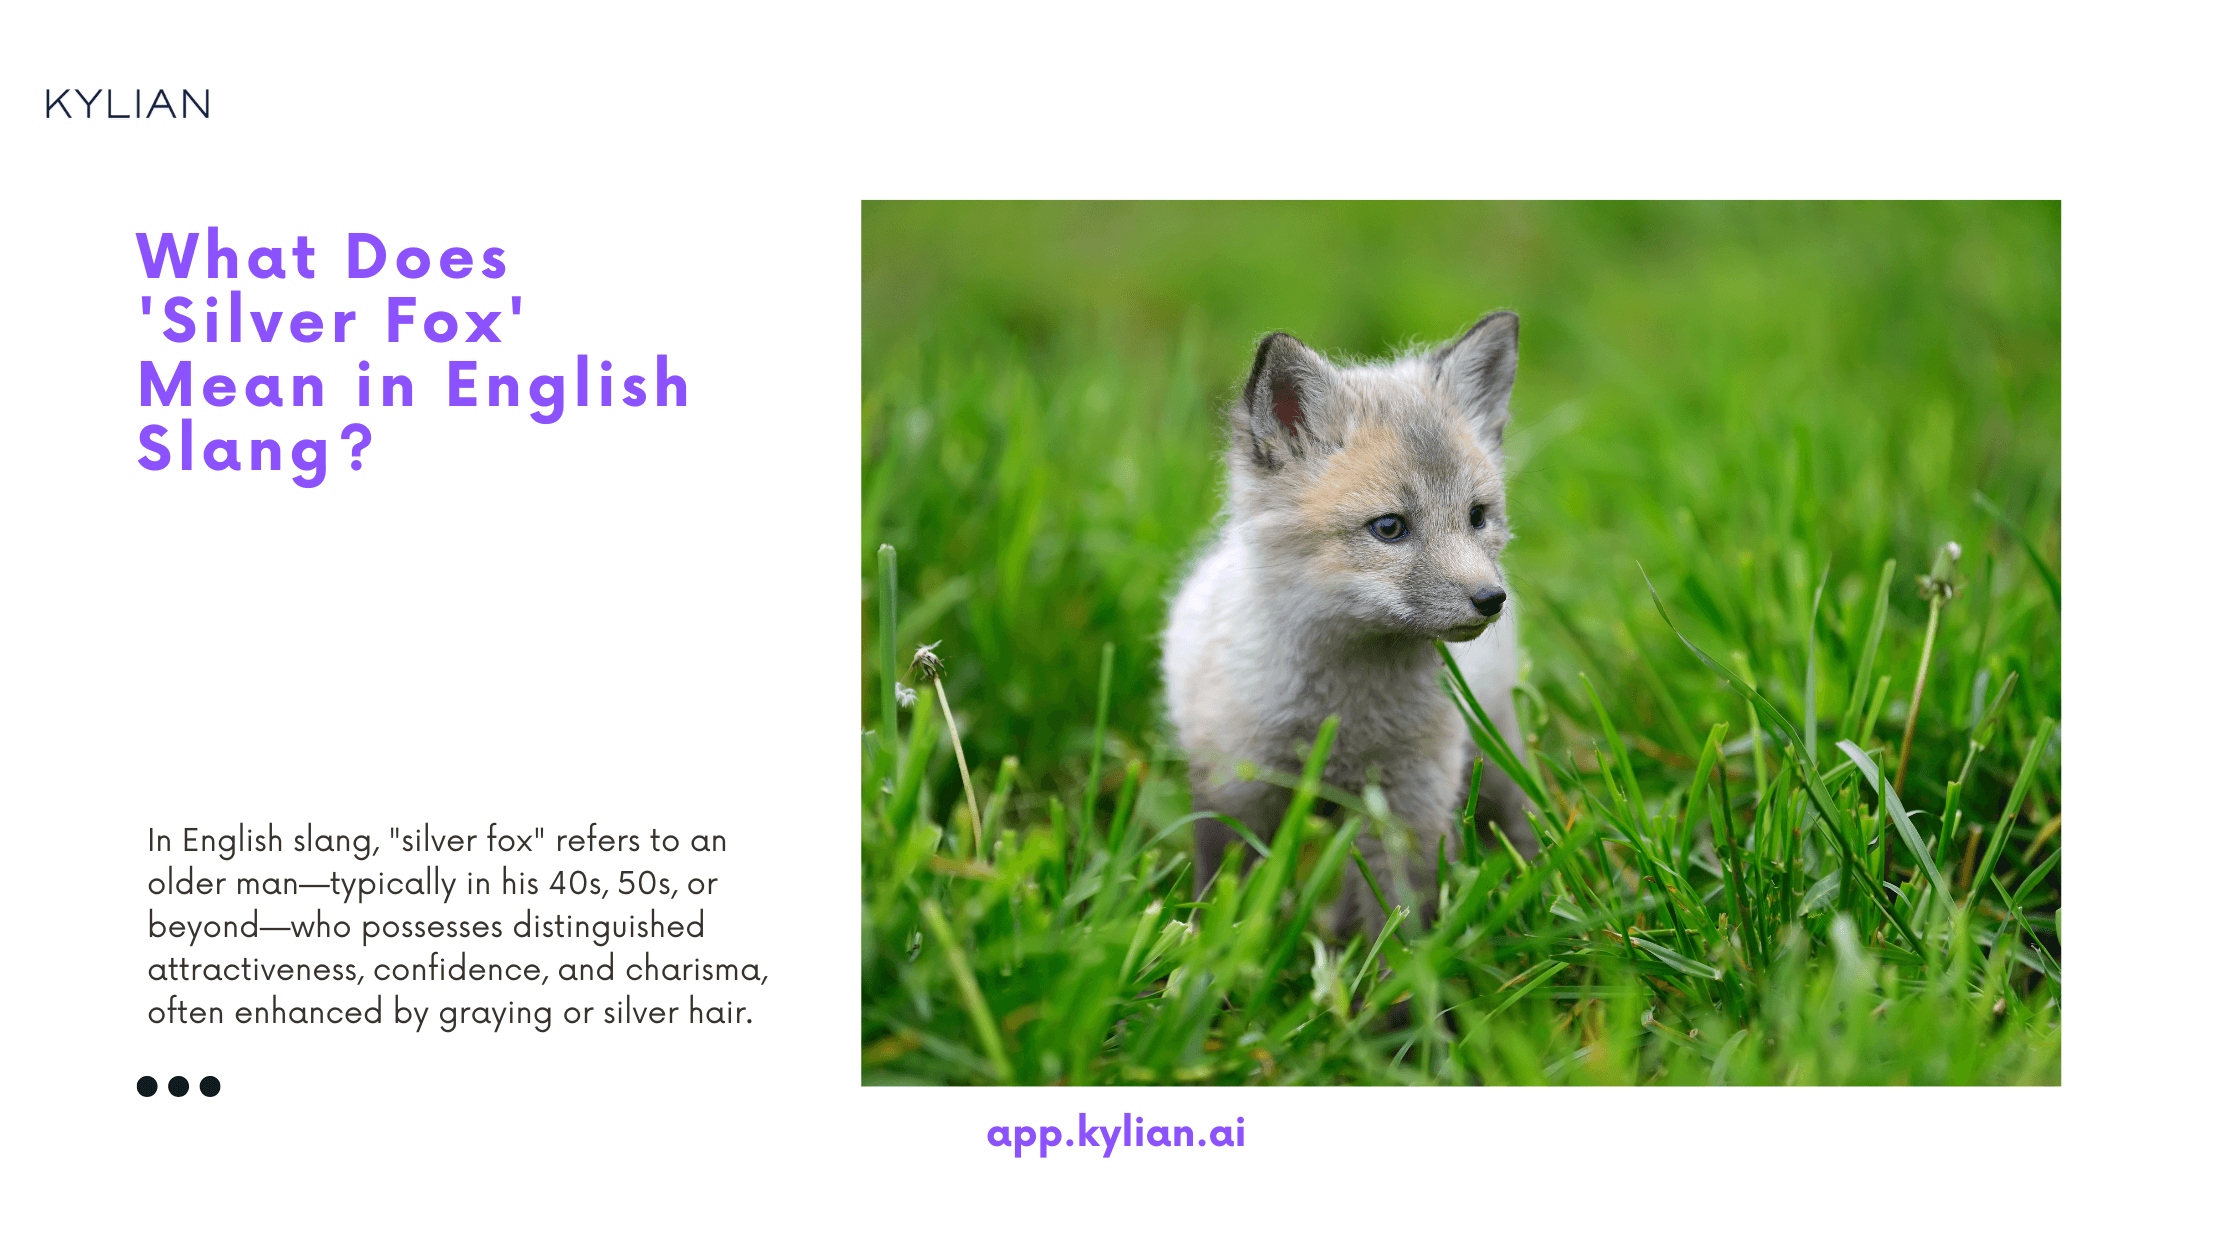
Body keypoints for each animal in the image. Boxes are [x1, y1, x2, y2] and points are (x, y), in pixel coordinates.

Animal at [1163, 311, 1536, 932]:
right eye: (1389, 528)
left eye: (1478, 516)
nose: (1491, 599)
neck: (1343, 715)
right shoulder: (1234, 787)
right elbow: (1222, 896)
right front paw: (1204, 953)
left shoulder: (1410, 804)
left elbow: (1400, 920)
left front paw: (1399, 964)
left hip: (1493, 752)